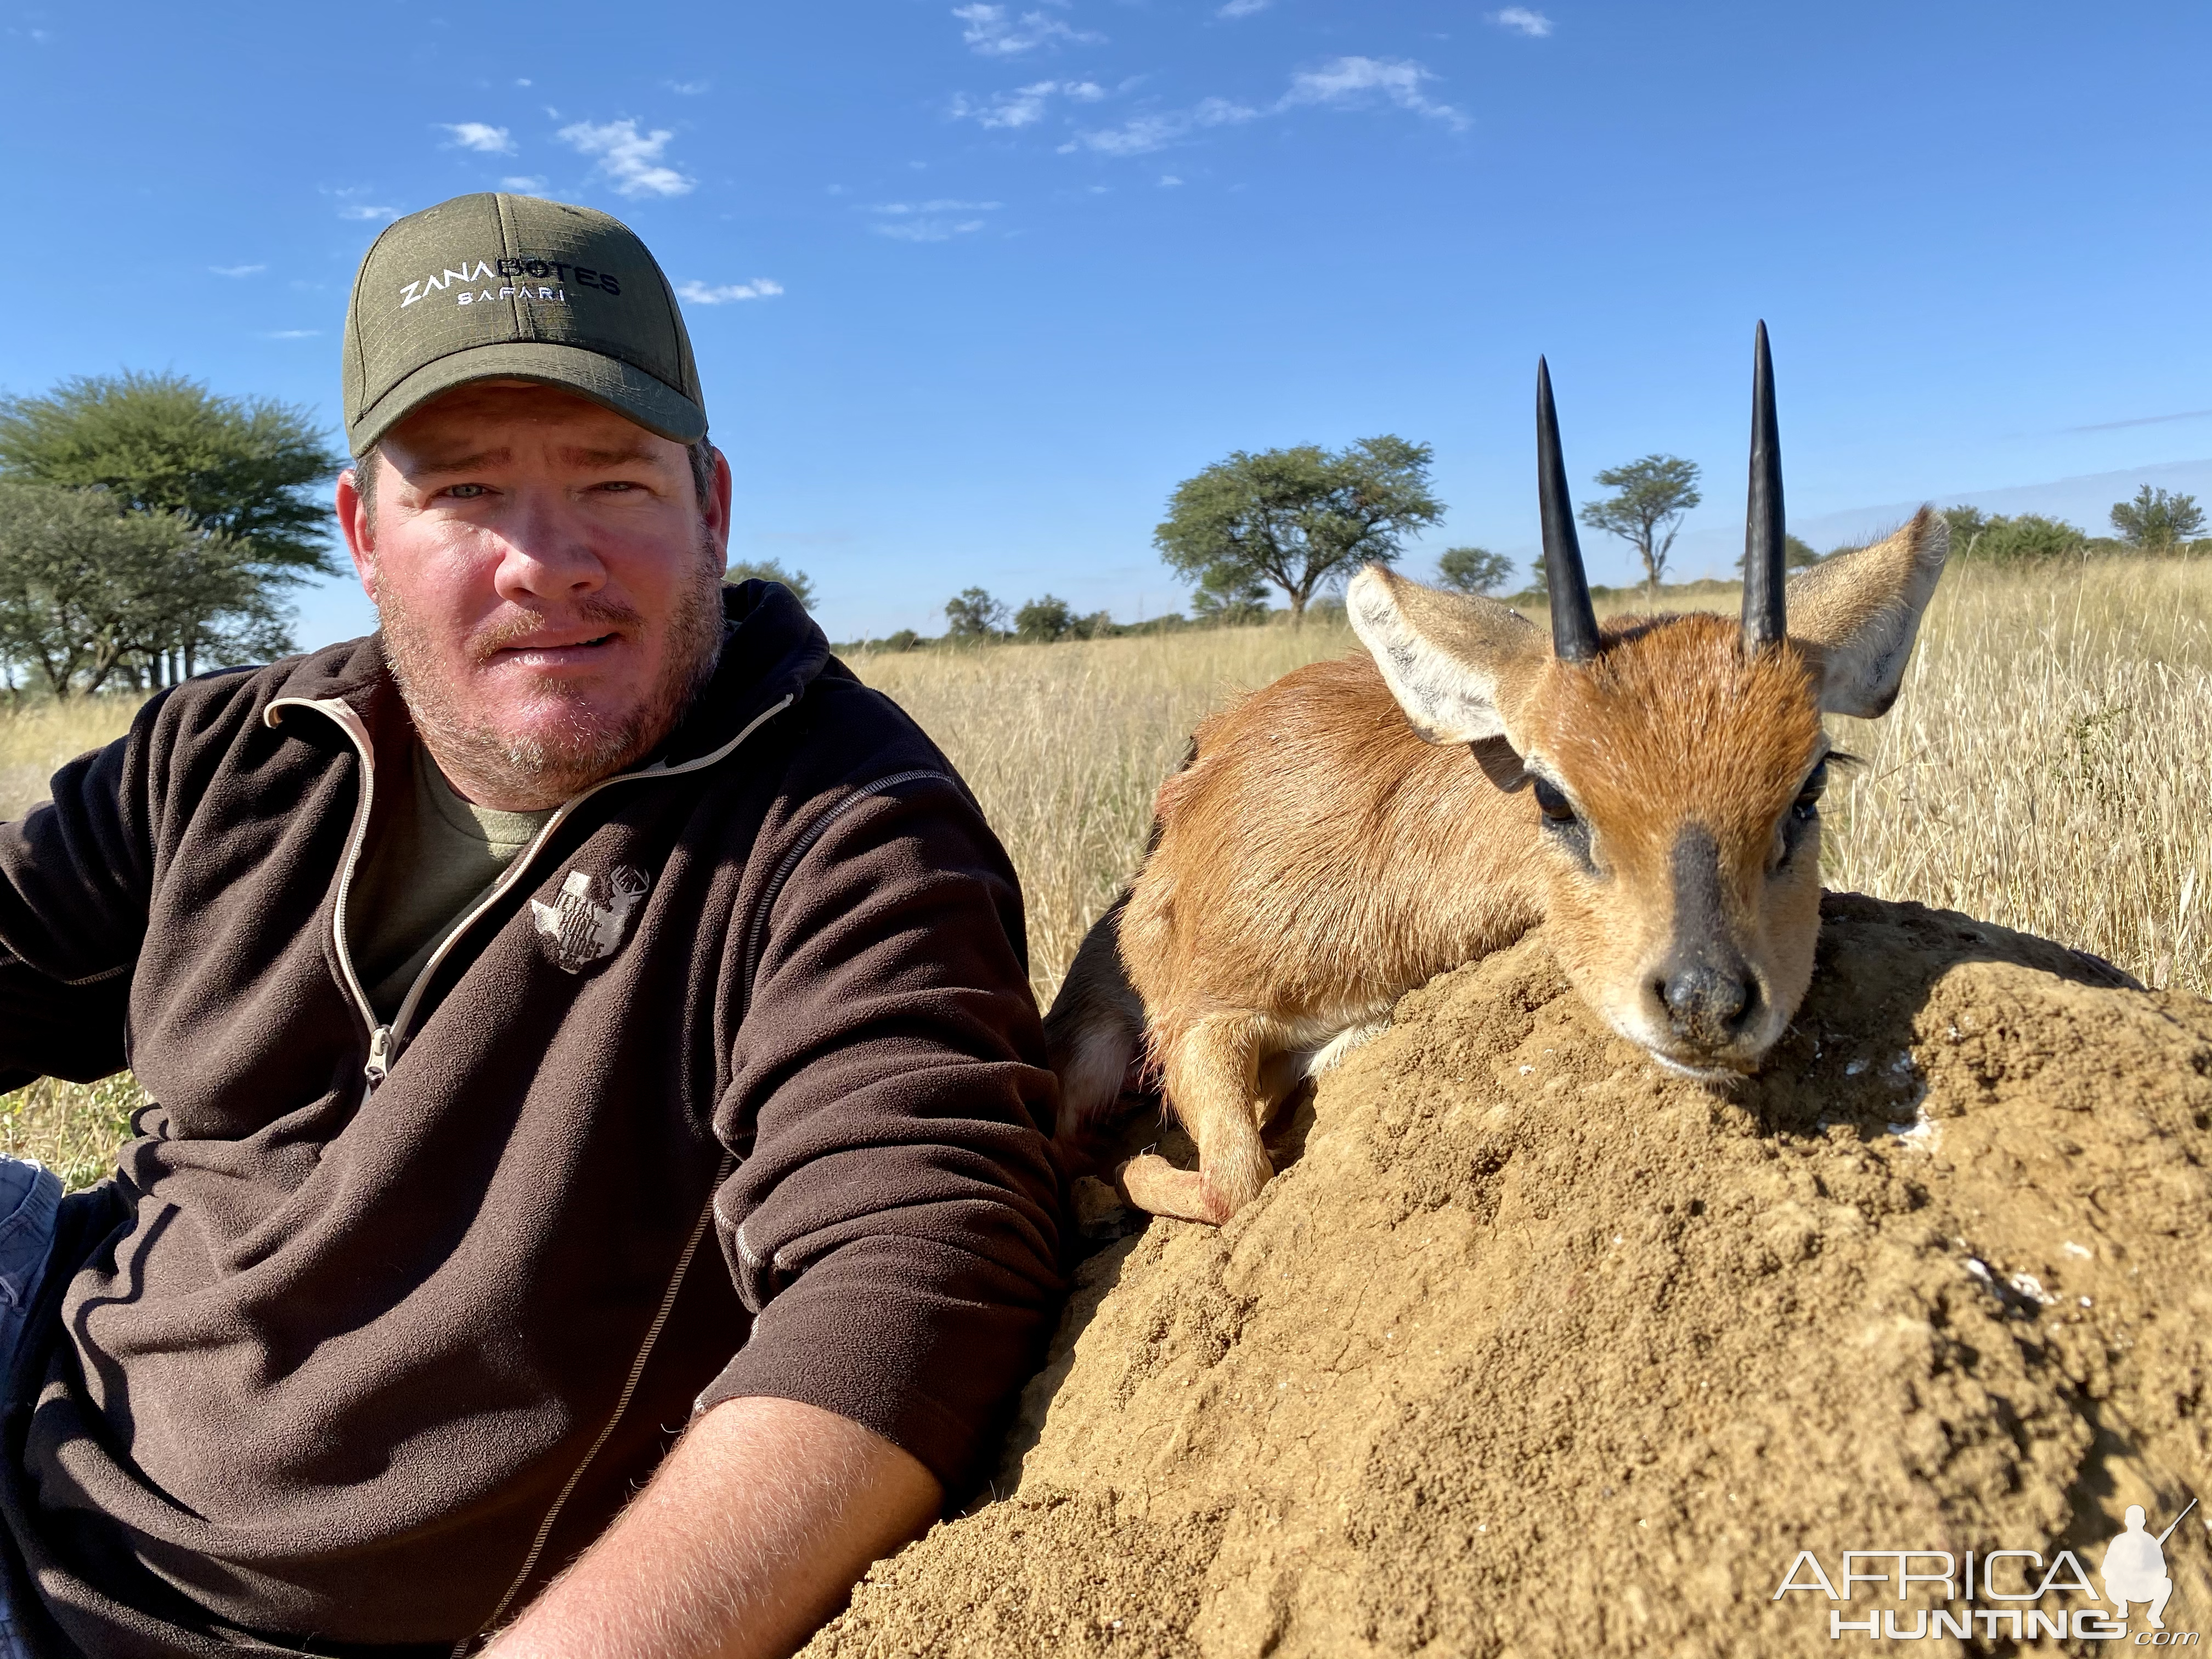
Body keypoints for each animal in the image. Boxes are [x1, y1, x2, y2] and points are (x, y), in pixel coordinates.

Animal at [1053, 327, 1955, 1238]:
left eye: (1809, 788)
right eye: (1553, 795)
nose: (1705, 1002)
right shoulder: (1199, 1020)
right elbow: (1235, 1180)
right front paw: (1123, 1176)